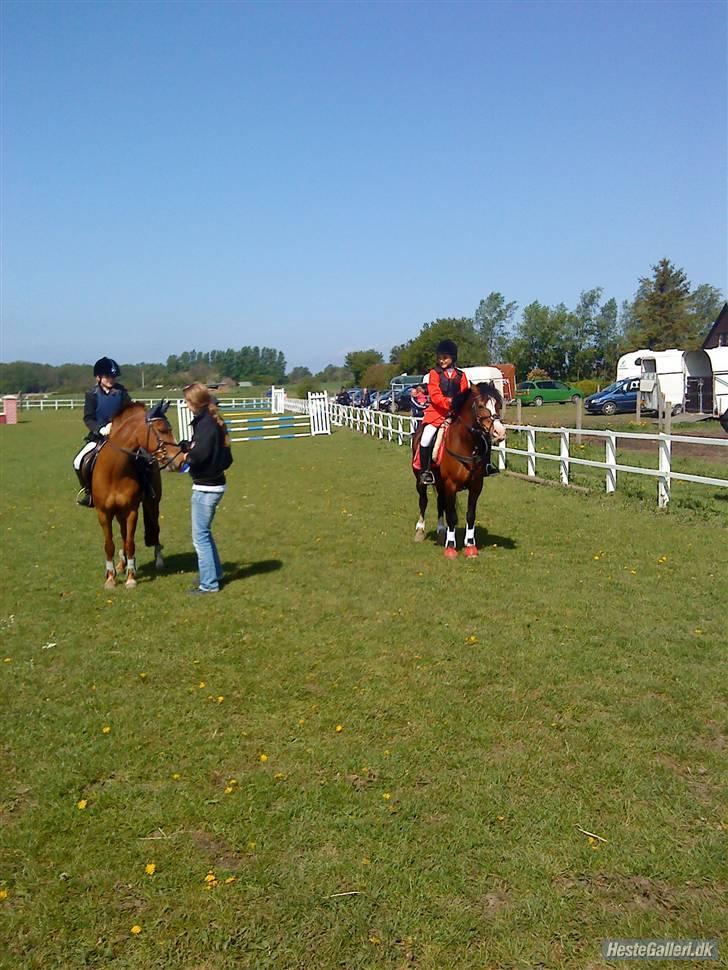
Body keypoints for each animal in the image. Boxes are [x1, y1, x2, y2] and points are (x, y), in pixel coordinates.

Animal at [91, 398, 185, 588]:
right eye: (162, 430)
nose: (179, 460)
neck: (114, 471)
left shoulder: (131, 510)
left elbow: (130, 543)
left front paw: (131, 577)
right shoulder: (103, 513)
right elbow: (110, 544)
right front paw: (111, 577)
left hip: (151, 503)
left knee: (154, 528)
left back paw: (157, 560)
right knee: (122, 533)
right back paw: (121, 564)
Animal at [412, 380, 510, 556]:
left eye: (498, 405)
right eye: (480, 405)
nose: (500, 432)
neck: (466, 444)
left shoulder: (476, 486)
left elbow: (470, 515)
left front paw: (470, 545)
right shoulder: (451, 484)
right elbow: (451, 516)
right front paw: (451, 547)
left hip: (440, 484)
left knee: (440, 502)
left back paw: (441, 531)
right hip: (420, 481)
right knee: (423, 501)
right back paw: (420, 531)